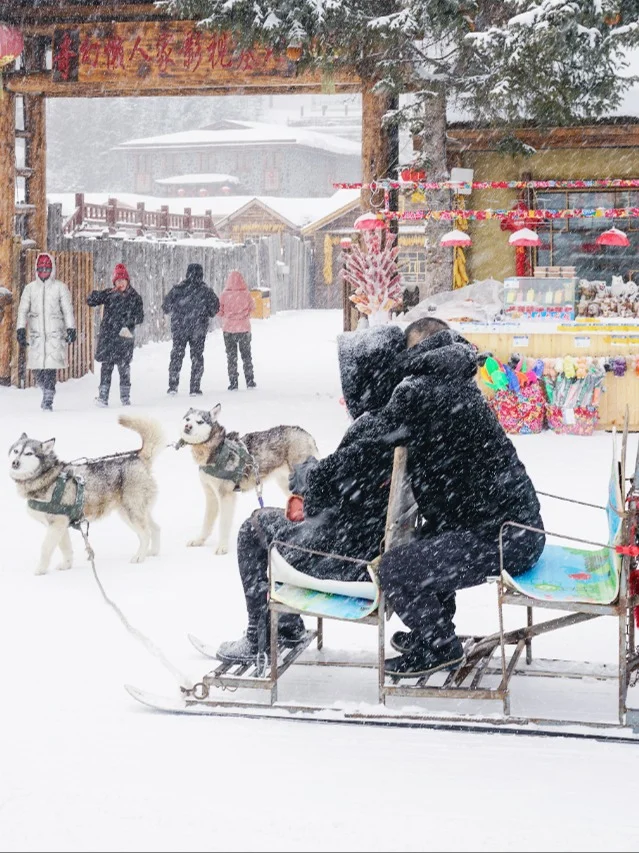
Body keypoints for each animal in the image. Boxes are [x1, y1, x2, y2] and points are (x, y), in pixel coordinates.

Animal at [9, 416, 165, 576]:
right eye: (16, 451)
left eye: (29, 453)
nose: (15, 463)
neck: (48, 476)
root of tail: (137, 458)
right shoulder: (61, 525)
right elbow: (66, 548)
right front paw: (66, 565)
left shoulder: (56, 524)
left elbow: (45, 548)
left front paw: (40, 570)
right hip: (133, 512)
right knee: (155, 528)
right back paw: (152, 552)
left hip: (131, 513)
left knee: (145, 534)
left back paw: (140, 556)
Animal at [179, 404, 318, 556]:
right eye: (187, 419)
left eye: (200, 422)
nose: (187, 426)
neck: (216, 450)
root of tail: (306, 434)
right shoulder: (211, 496)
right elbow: (206, 523)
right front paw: (199, 540)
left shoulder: (226, 496)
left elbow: (223, 524)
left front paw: (222, 546)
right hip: (286, 483)